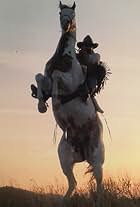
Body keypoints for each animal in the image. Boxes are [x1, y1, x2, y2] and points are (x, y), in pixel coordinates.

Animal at [34, 1, 104, 205]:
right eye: (60, 12)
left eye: (72, 13)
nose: (66, 24)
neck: (64, 57)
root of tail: (83, 152)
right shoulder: (46, 78)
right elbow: (40, 77)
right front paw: (42, 105)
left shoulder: (69, 80)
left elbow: (57, 76)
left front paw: (56, 99)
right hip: (65, 159)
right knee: (73, 183)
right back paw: (63, 201)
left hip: (97, 159)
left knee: (99, 183)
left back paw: (99, 201)